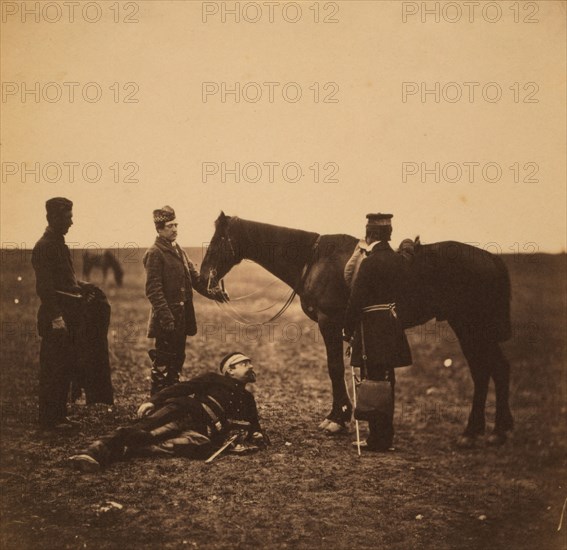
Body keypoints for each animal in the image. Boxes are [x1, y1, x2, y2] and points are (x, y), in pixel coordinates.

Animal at [201, 213, 516, 450]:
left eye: (217, 241)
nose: (204, 280)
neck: (314, 259)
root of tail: (491, 259)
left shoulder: (329, 323)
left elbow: (334, 368)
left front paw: (336, 418)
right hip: (469, 329)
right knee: (491, 370)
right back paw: (489, 430)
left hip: (471, 326)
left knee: (488, 370)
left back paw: (481, 431)